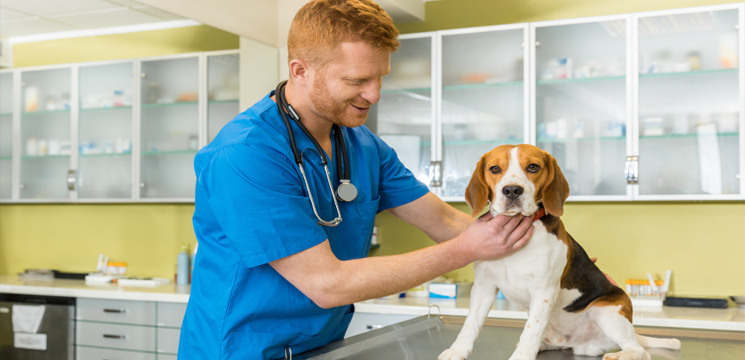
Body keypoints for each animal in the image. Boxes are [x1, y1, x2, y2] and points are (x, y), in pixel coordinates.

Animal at [438, 145, 676, 360]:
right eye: (495, 169)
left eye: (533, 167)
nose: (512, 190)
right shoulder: (484, 287)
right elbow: (470, 324)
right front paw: (457, 351)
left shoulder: (543, 292)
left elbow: (530, 331)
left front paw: (521, 356)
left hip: (606, 312)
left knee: (640, 350)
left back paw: (619, 356)